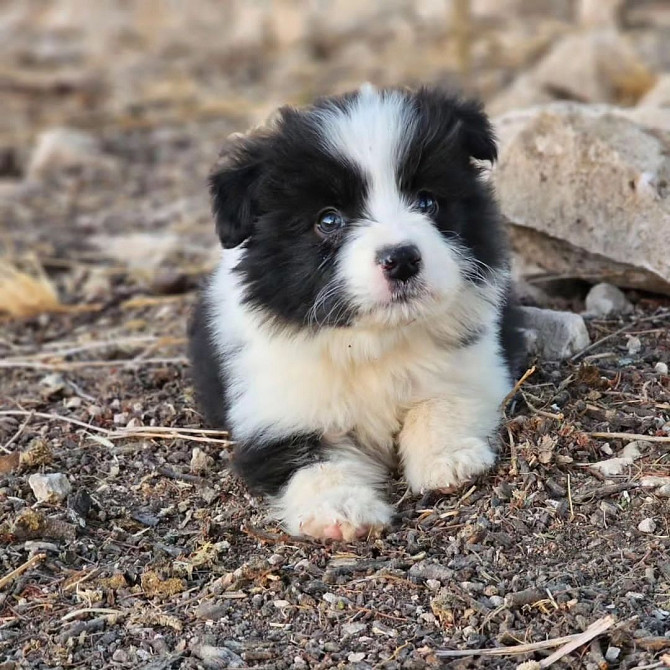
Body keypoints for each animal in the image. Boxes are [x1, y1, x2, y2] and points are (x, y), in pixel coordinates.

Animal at [189, 86, 524, 544]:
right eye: (329, 219)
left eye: (427, 201)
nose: (402, 259)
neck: (373, 339)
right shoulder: (275, 411)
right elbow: (312, 461)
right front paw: (339, 509)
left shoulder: (474, 362)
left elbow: (441, 402)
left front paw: (449, 459)